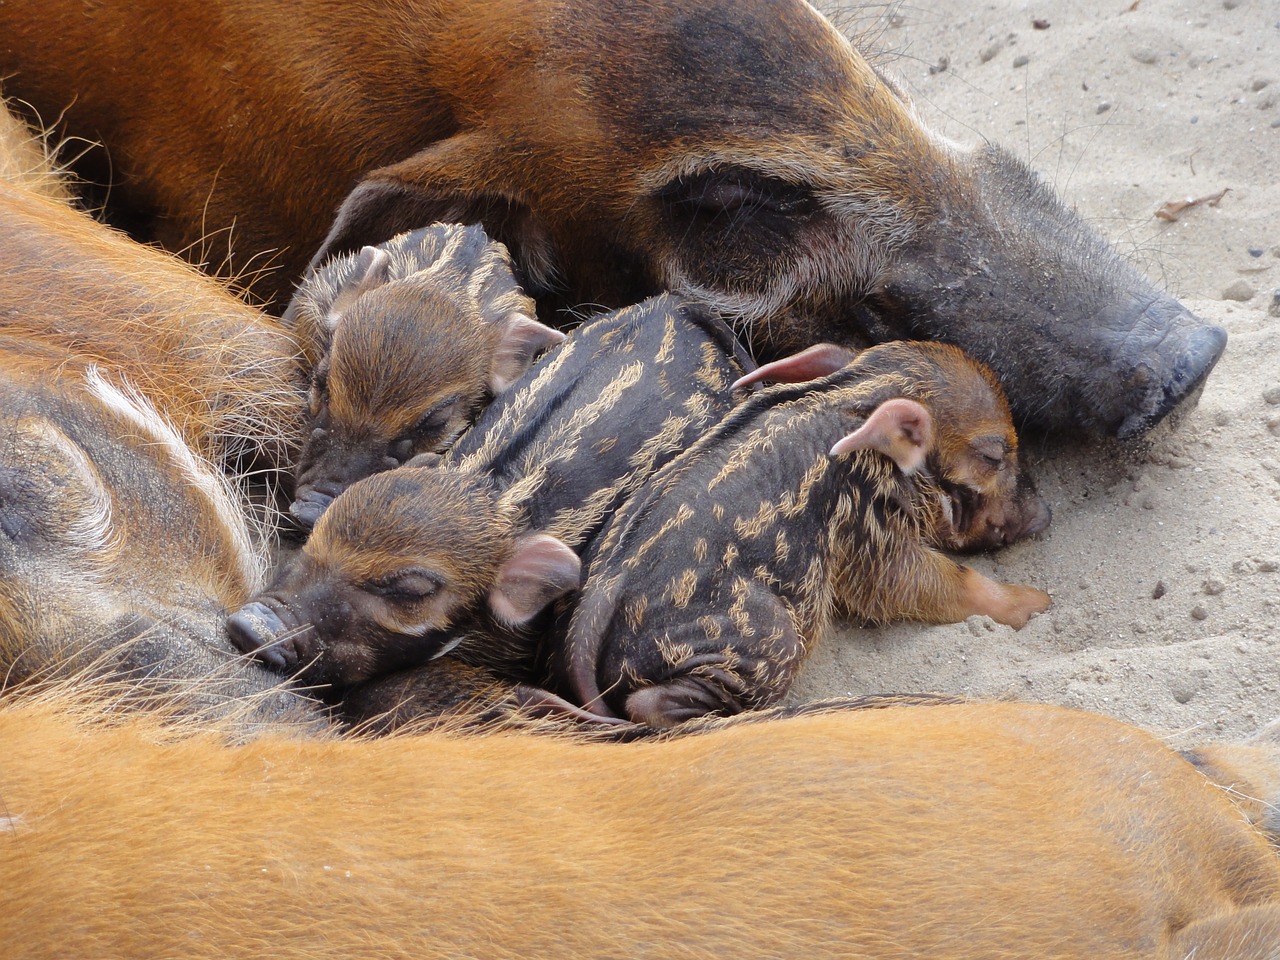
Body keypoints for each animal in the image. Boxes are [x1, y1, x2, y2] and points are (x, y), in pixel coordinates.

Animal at [558, 343, 1049, 727]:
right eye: (993, 456)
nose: (1045, 515)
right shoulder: (868, 528)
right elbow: (924, 582)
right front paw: (1040, 603)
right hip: (768, 639)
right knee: (648, 703)